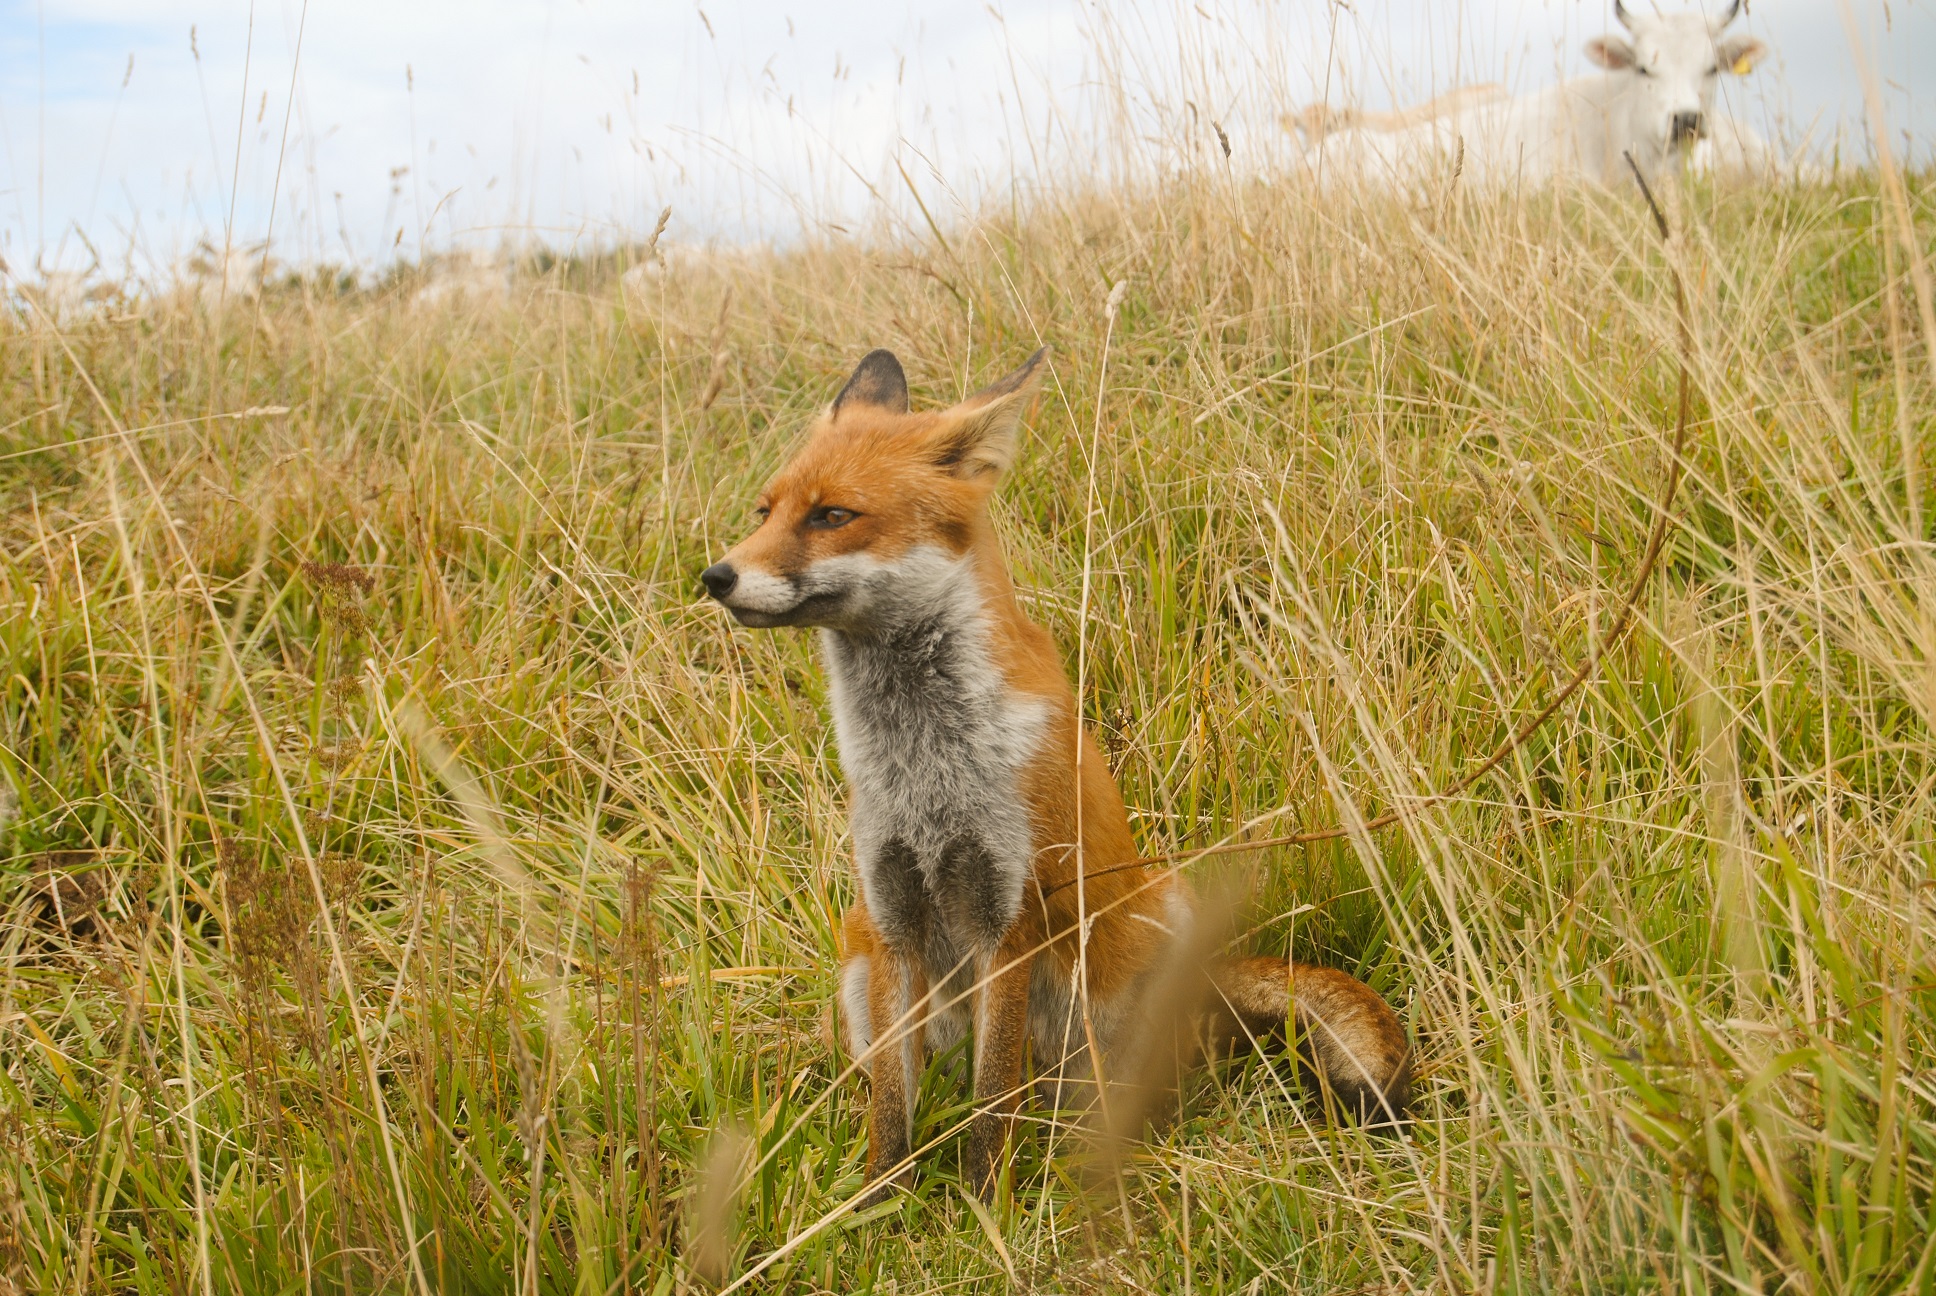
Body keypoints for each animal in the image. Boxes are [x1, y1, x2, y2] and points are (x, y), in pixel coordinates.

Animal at [700, 346, 1409, 1201]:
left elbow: (990, 1101)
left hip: (1158, 922)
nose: (715, 576)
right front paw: (880, 1203)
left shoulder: (1010, 917)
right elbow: (894, 1108)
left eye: (832, 516)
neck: (926, 766)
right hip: (858, 956)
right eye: (764, 511)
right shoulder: (894, 917)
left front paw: (981, 1207)